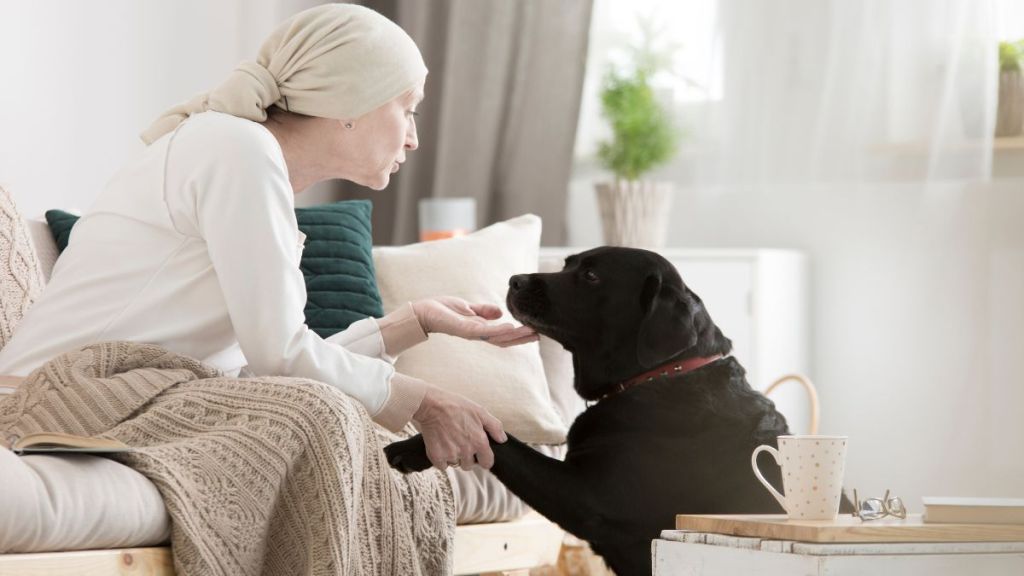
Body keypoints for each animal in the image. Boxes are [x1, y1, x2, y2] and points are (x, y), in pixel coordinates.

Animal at [385, 243, 790, 569]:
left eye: (592, 276)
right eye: (567, 264)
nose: (515, 280)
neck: (660, 374)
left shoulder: (585, 498)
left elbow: (501, 438)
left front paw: (414, 446)